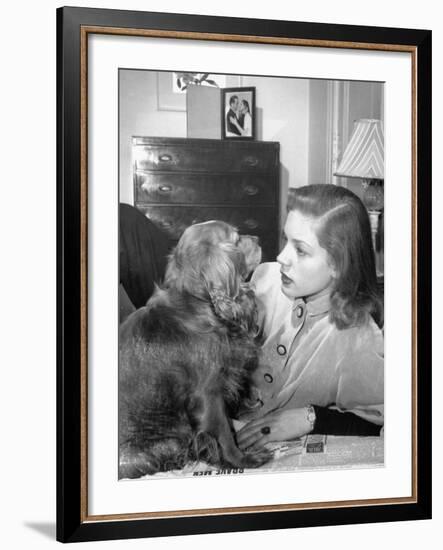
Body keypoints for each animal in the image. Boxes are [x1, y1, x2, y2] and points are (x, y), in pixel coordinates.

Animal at [119, 222, 268, 480]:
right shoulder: (208, 395)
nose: (258, 238)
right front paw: (241, 460)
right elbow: (224, 434)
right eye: (237, 239)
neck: (197, 304)